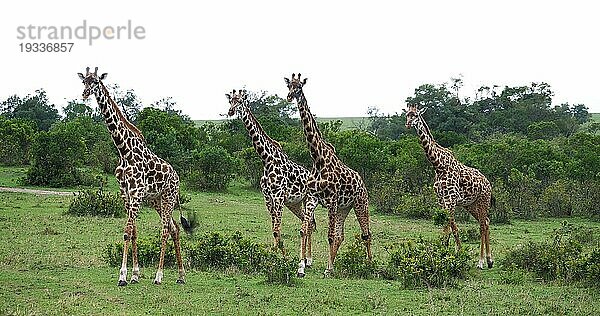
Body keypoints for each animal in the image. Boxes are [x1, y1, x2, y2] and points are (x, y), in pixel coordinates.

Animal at [76, 67, 191, 286]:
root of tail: (177, 176)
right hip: (156, 200)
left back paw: (159, 276)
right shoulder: (126, 194)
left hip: (169, 197)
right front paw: (135, 274)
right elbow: (134, 231)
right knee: (174, 228)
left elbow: (127, 231)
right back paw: (181, 275)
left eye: (95, 82)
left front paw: (122, 276)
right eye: (83, 81)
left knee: (165, 229)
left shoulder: (136, 193)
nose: (85, 94)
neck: (124, 150)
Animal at [225, 89, 318, 276]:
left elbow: (277, 228)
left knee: (306, 226)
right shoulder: (268, 198)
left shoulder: (279, 196)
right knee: (308, 223)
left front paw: (282, 257)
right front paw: (274, 256)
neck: (266, 160)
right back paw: (308, 260)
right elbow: (274, 229)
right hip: (296, 203)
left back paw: (303, 264)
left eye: (240, 101)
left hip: (309, 200)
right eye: (230, 101)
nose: (230, 111)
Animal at [284, 73, 372, 276]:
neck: (318, 159)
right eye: (288, 86)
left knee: (366, 234)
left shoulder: (331, 201)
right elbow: (304, 229)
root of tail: (362, 182)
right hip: (343, 208)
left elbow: (330, 235)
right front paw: (301, 267)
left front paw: (327, 269)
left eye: (299, 87)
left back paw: (370, 265)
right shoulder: (312, 198)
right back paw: (335, 264)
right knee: (341, 235)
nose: (290, 96)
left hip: (360, 203)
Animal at [406, 105, 494, 268]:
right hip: (470, 205)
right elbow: (447, 227)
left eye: (416, 115)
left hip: (483, 200)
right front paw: (444, 251)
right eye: (407, 115)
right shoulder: (442, 200)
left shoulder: (451, 199)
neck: (438, 165)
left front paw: (457, 252)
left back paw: (481, 261)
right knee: (485, 221)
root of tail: (488, 182)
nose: (408, 124)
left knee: (482, 225)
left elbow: (452, 227)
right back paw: (489, 260)